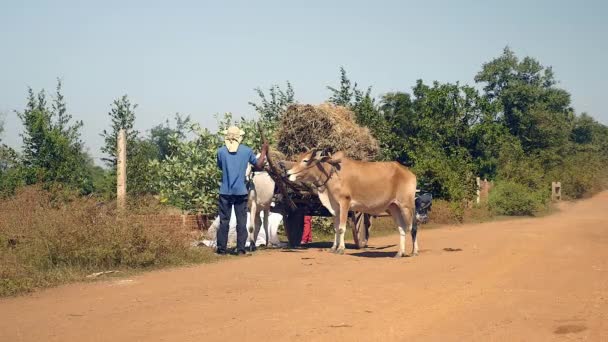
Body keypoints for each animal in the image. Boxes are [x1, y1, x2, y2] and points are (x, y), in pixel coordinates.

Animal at [286, 150, 418, 256]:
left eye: (306, 160)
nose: (288, 173)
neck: (333, 173)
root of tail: (409, 173)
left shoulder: (345, 203)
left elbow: (341, 228)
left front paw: (340, 249)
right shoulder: (335, 208)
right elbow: (336, 228)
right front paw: (333, 248)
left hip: (407, 206)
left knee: (413, 226)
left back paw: (414, 251)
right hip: (393, 207)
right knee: (401, 228)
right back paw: (400, 253)